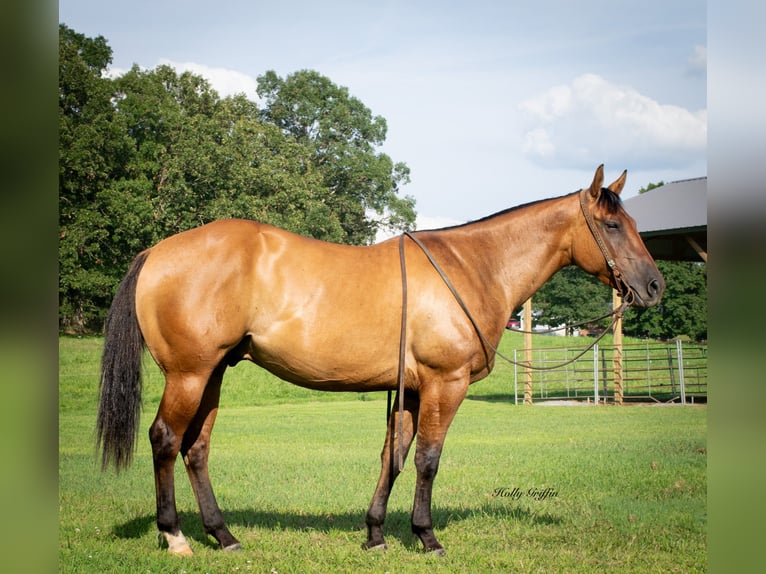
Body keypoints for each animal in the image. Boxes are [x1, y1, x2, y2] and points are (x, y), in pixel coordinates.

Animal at [97, 165, 664, 560]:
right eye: (612, 224)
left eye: (635, 221)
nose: (655, 285)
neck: (471, 266)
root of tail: (158, 251)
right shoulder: (445, 384)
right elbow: (428, 459)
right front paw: (427, 537)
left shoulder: (411, 389)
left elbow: (394, 455)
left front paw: (374, 534)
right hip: (189, 374)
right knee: (166, 441)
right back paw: (175, 537)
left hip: (212, 374)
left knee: (196, 449)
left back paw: (224, 535)